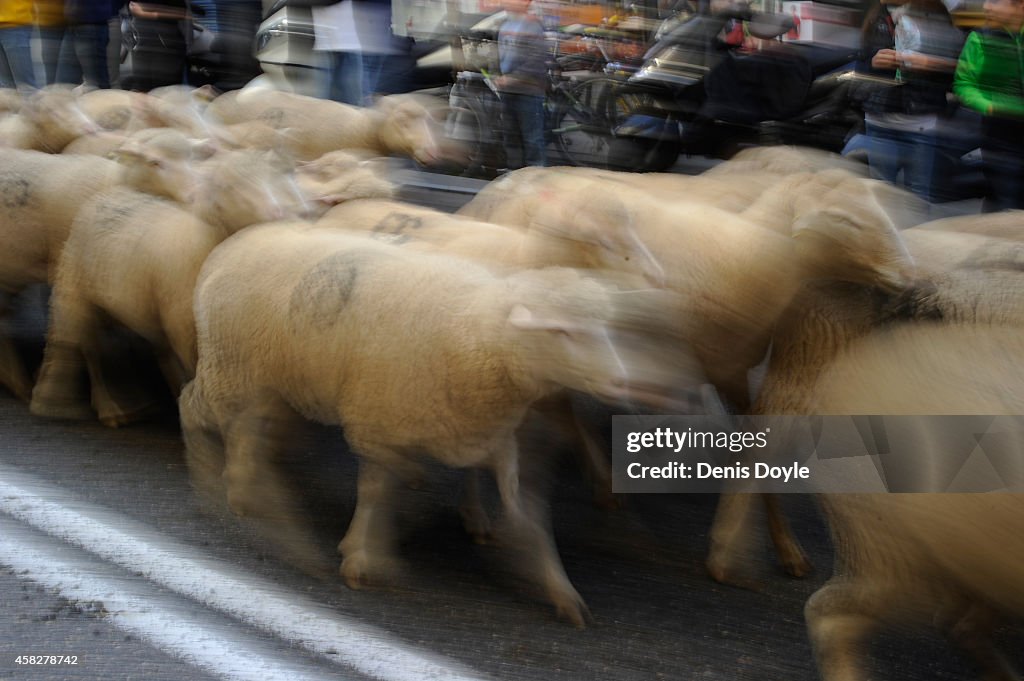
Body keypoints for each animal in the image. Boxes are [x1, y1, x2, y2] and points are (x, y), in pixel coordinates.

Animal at [182, 224, 696, 626]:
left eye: (607, 328)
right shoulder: (377, 422)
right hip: (230, 368)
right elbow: (376, 492)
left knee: (246, 427)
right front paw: (362, 555)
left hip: (262, 379)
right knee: (194, 408)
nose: (622, 381)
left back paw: (241, 487)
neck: (483, 333)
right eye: (562, 331)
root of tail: (230, 244)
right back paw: (213, 483)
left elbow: (526, 516)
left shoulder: (488, 433)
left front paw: (556, 586)